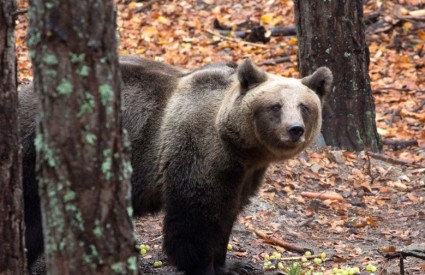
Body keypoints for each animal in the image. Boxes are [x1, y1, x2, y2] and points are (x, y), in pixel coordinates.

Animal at [19, 55, 332, 274]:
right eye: (275, 106)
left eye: (304, 106)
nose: (295, 129)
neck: (240, 148)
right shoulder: (197, 153)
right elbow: (195, 219)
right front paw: (203, 266)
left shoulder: (244, 175)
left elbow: (227, 215)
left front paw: (231, 264)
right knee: (32, 217)